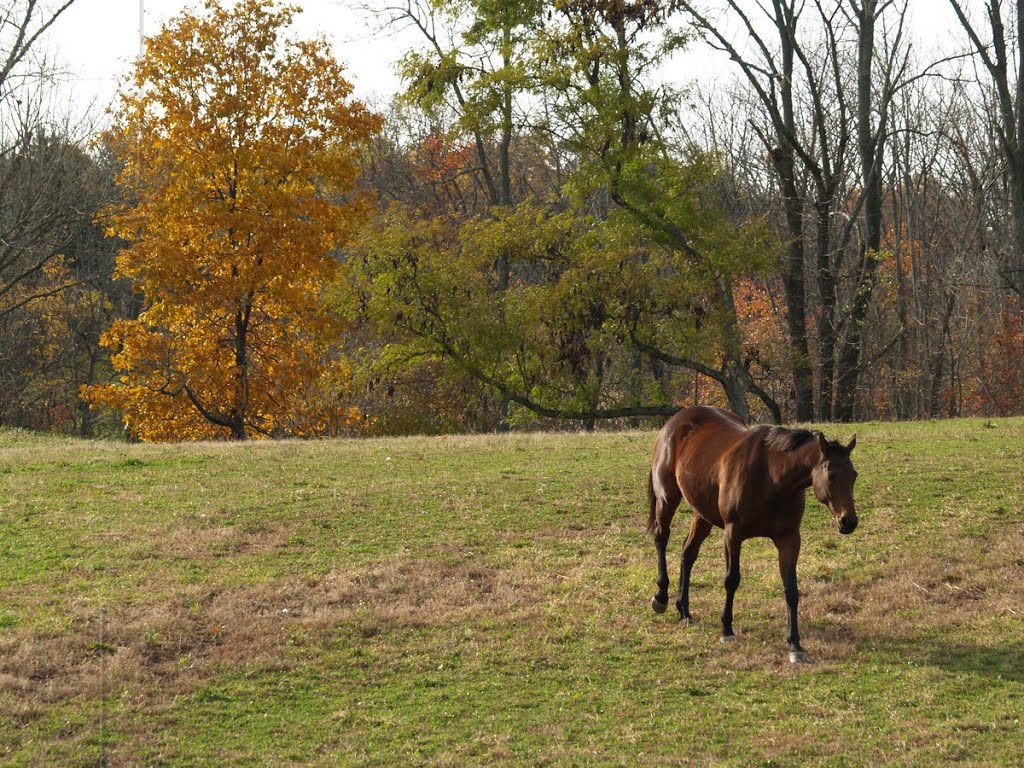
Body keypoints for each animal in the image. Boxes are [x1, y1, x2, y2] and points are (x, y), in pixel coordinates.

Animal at [647, 405, 856, 663]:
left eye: (854, 475)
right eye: (831, 475)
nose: (849, 521)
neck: (772, 478)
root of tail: (676, 421)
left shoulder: (789, 539)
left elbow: (791, 589)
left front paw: (795, 644)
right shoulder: (733, 534)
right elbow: (731, 580)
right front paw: (726, 629)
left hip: (702, 513)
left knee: (688, 553)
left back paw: (684, 610)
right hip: (667, 499)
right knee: (661, 538)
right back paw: (661, 597)